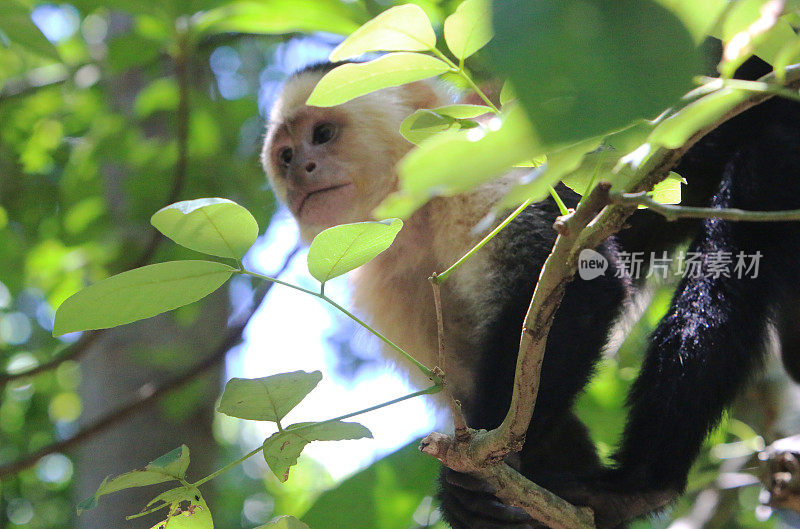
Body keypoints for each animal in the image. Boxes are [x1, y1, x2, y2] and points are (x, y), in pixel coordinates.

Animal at [262, 57, 800, 528]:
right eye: (284, 157)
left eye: (323, 134)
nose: (301, 169)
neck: (413, 217)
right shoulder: (384, 287)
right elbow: (478, 387)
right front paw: (508, 500)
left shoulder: (466, 169)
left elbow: (585, 284)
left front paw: (481, 476)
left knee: (743, 216)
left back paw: (640, 486)